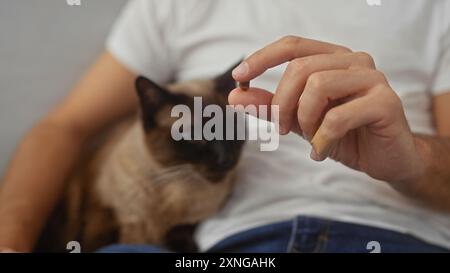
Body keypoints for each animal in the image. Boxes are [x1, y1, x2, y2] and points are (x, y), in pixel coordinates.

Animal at [36, 62, 244, 252]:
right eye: (195, 137)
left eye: (231, 130)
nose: (226, 159)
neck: (177, 186)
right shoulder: (105, 214)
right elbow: (101, 242)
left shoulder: (185, 226)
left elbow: (182, 237)